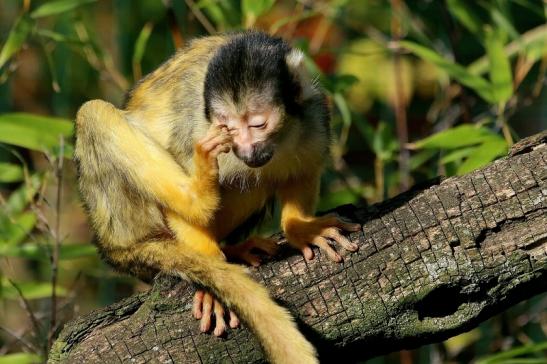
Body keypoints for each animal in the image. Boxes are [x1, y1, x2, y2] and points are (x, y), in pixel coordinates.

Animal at [75, 32, 362, 364]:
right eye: (228, 127)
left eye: (258, 124)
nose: (246, 148)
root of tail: (111, 245)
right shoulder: (201, 130)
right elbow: (179, 185)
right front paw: (212, 281)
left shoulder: (313, 113)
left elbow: (303, 169)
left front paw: (302, 227)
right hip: (121, 217)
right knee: (93, 113)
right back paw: (198, 199)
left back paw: (233, 247)